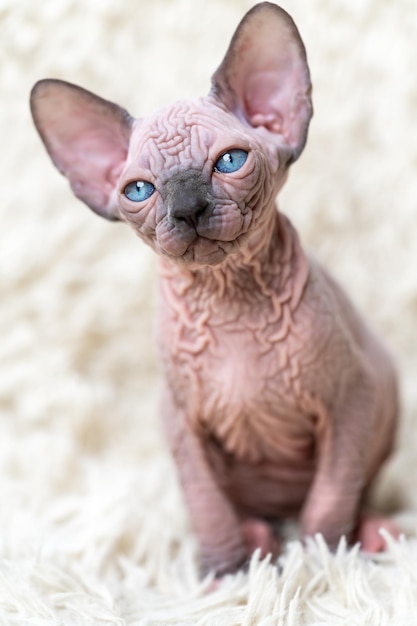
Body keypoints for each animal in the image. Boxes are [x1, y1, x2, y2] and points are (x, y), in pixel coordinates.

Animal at [30, 2, 398, 576]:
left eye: (230, 161)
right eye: (139, 190)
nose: (187, 208)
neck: (231, 299)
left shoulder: (350, 402)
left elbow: (330, 496)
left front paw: (319, 561)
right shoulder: (181, 422)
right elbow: (205, 504)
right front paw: (225, 573)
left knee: (349, 493)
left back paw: (373, 534)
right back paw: (259, 538)